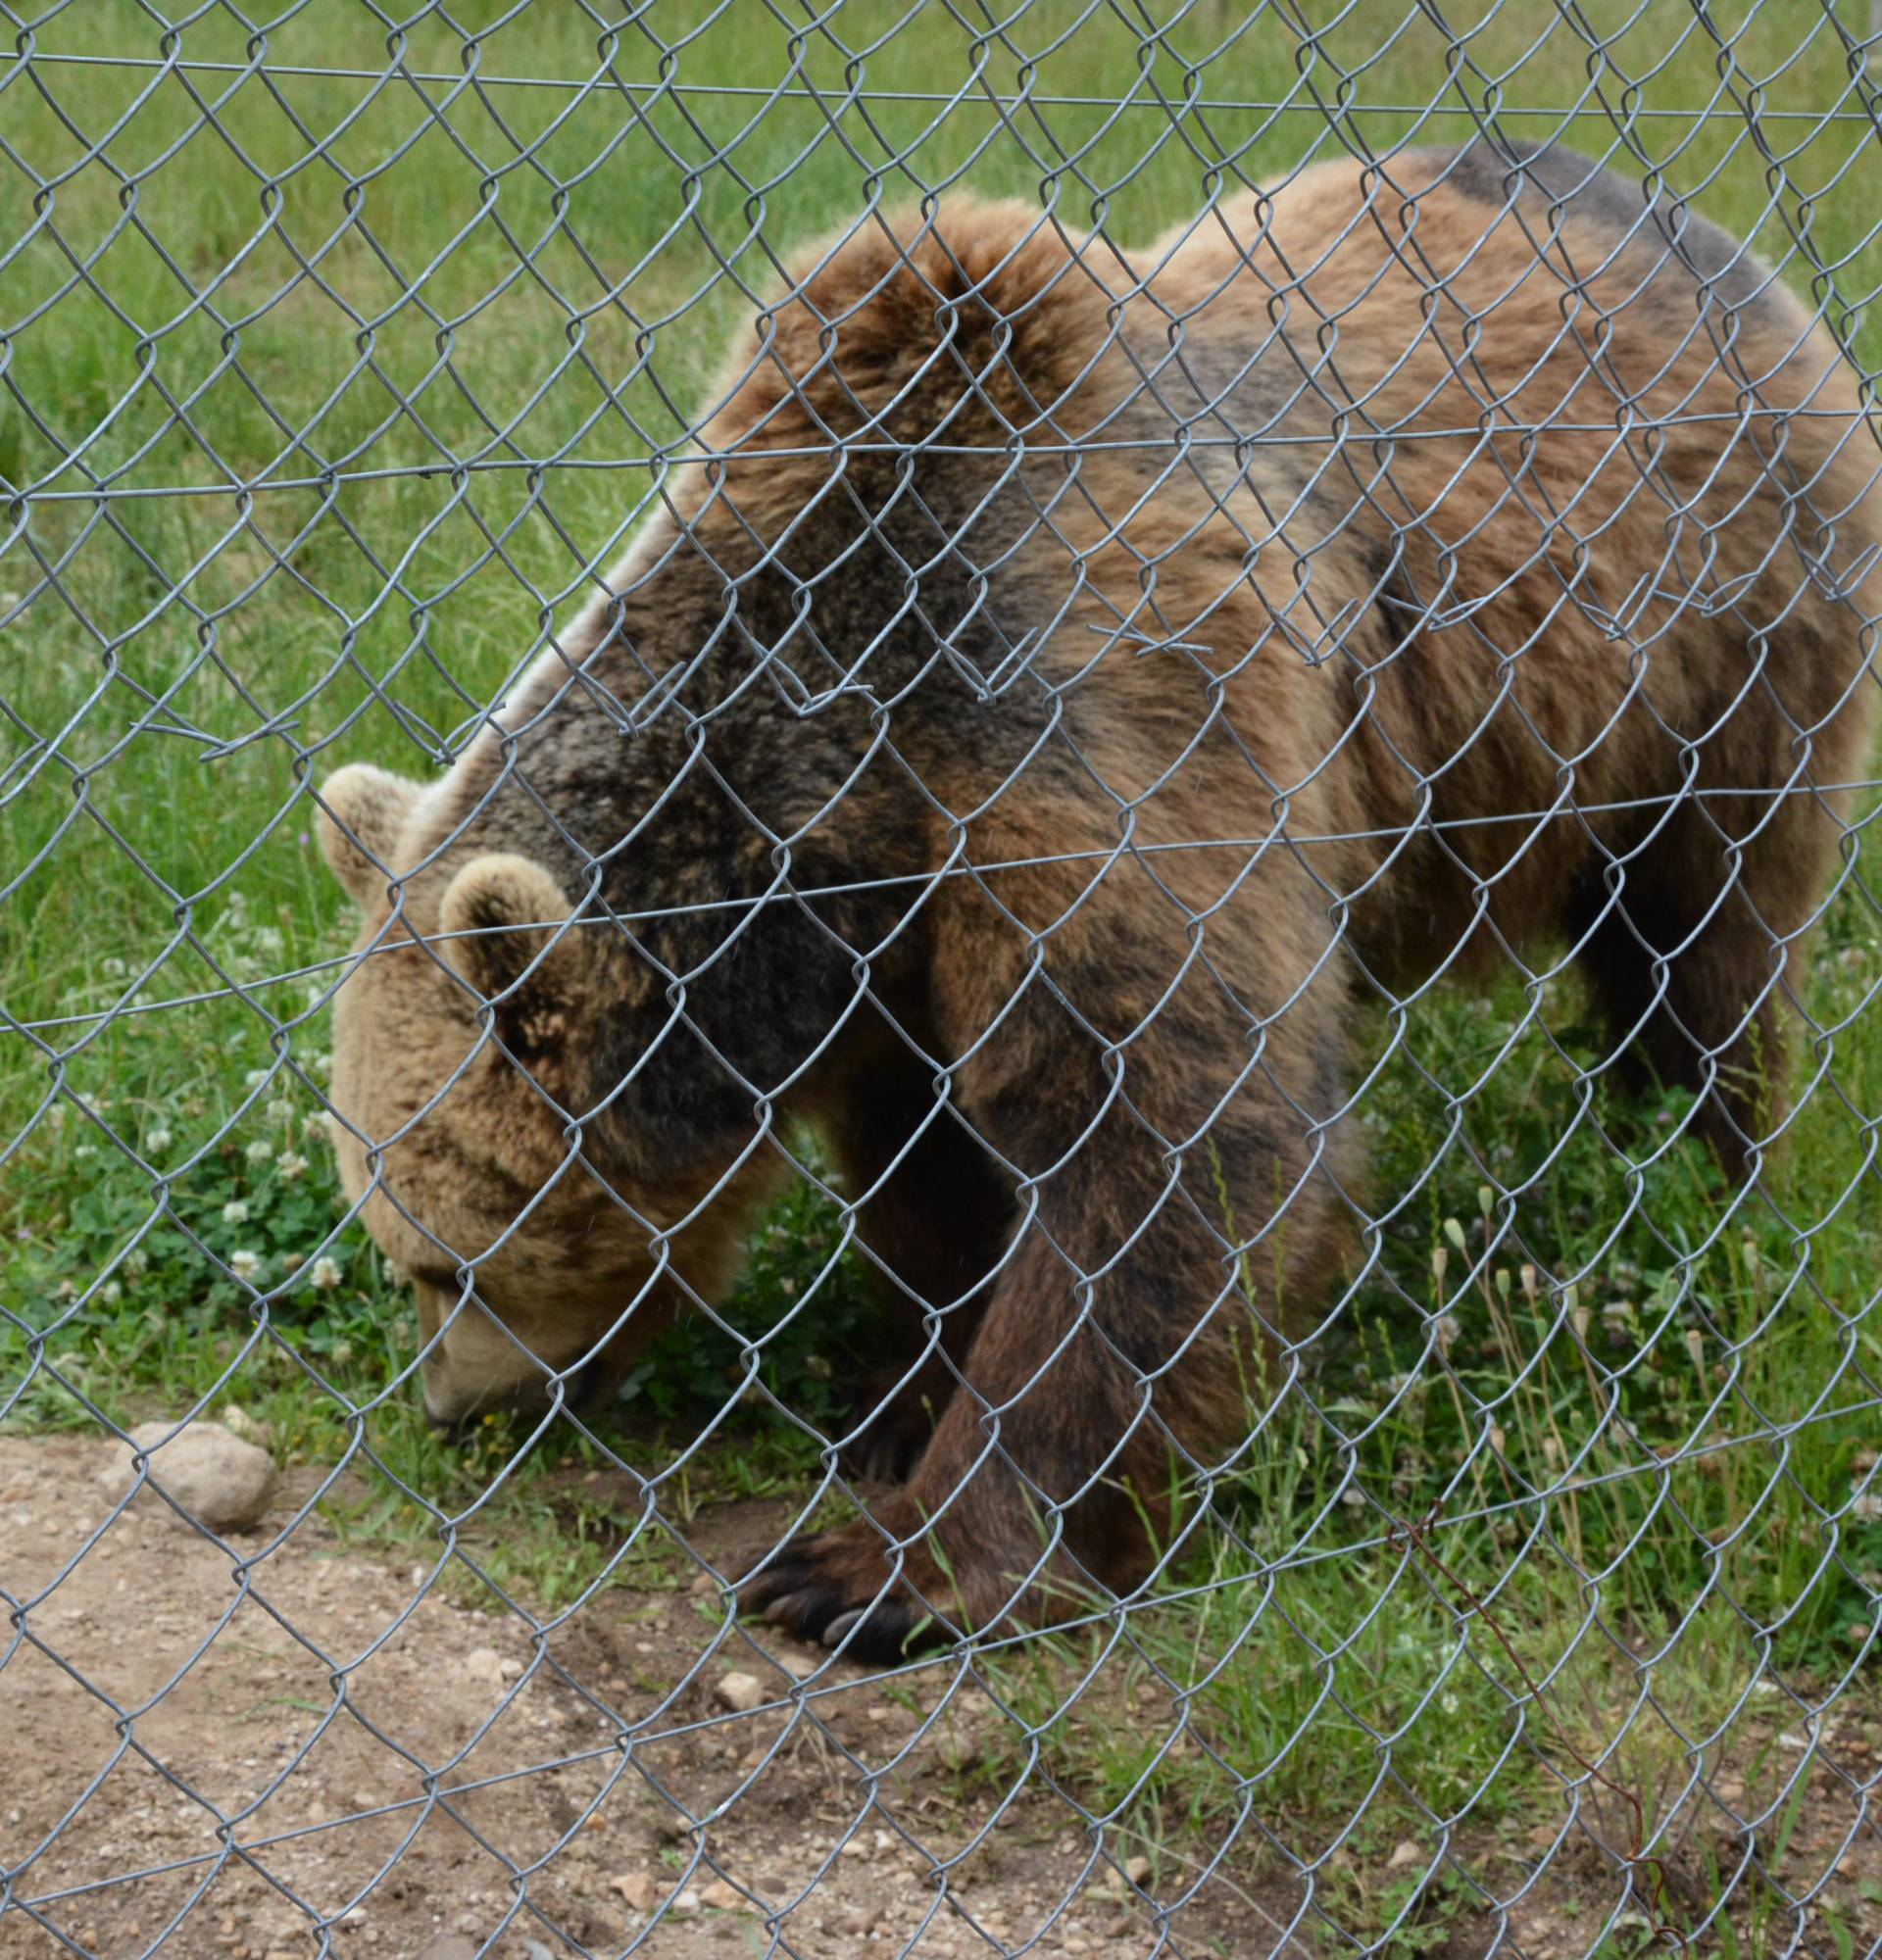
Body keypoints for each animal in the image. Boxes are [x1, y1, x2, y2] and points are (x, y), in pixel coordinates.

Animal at [316, 138, 1874, 1654]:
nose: (454, 1405)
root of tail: (1718, 240)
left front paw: (879, 1571)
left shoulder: (1098, 710)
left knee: (1707, 943)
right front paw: (901, 1401)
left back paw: (1698, 1174)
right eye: (406, 1251)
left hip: (1721, 638)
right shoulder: (900, 912)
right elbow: (934, 1161)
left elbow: (1167, 1117)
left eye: (445, 1261)